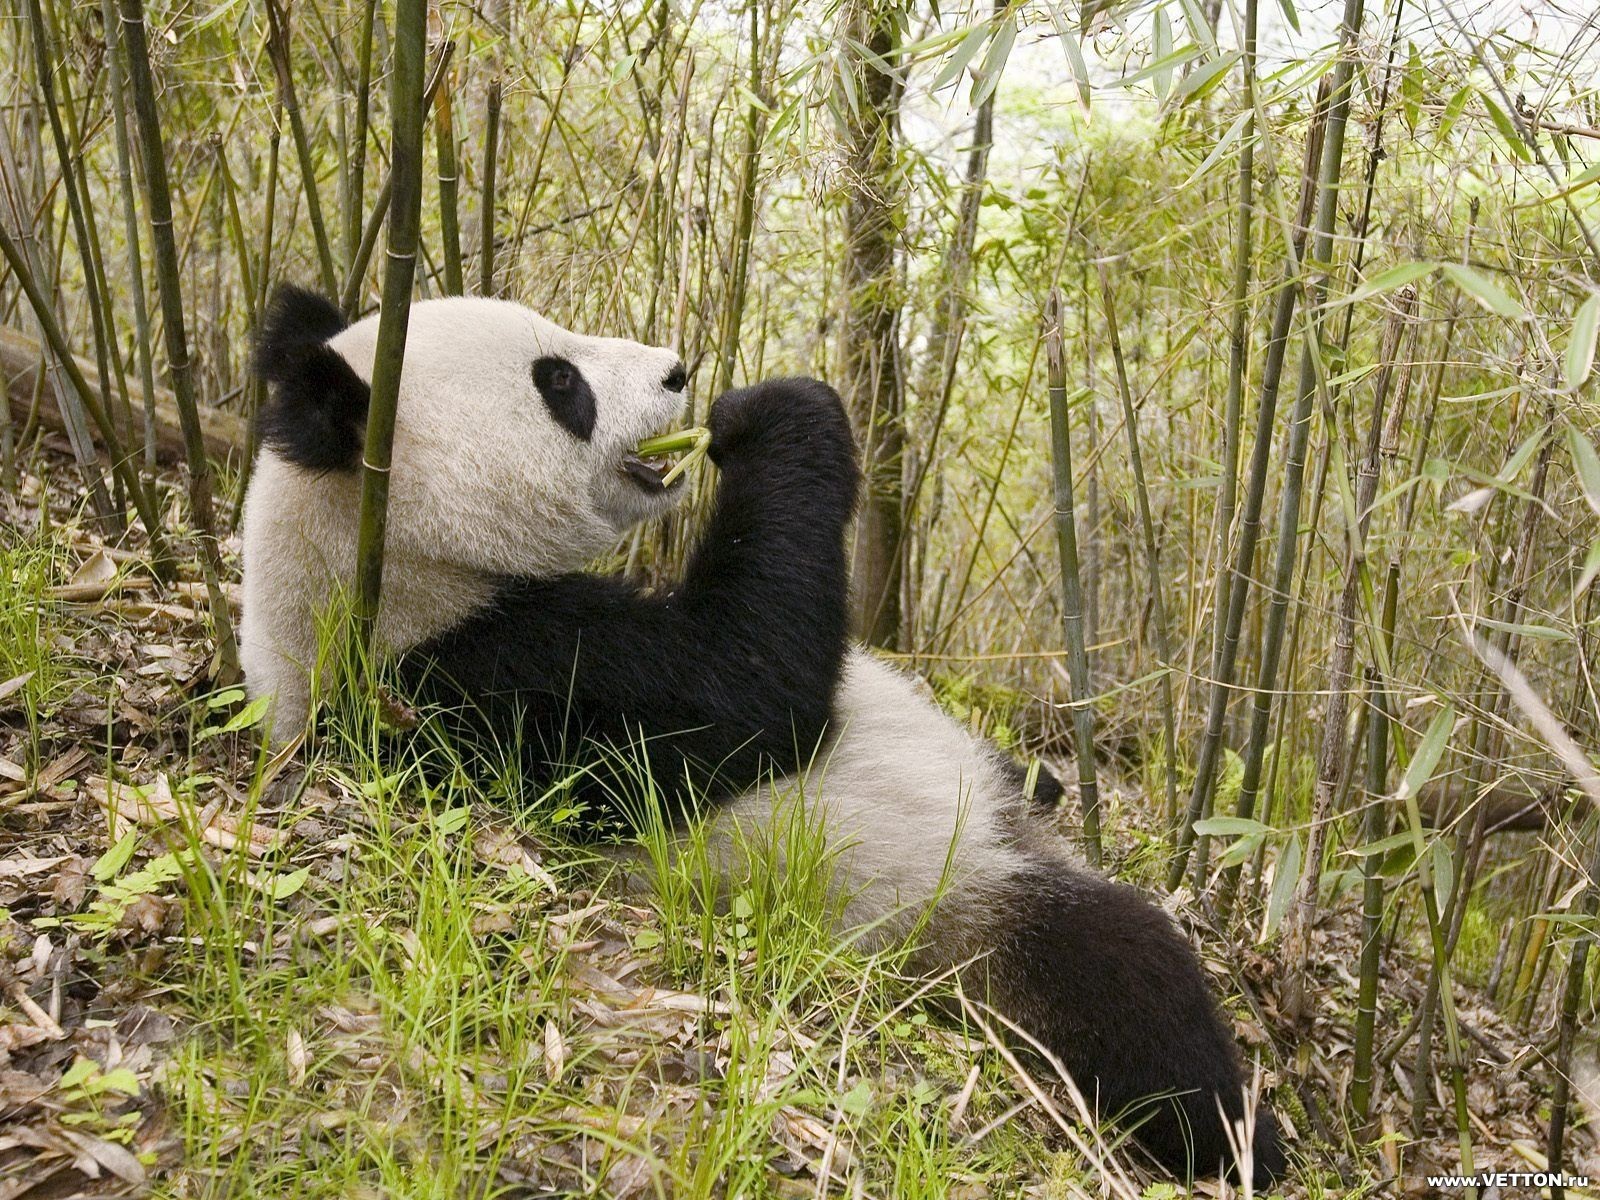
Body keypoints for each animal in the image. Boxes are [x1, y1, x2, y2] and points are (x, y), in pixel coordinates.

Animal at [241, 285, 1285, 1187]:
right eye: (559, 382)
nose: (678, 370)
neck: (381, 567)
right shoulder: (489, 682)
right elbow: (749, 689)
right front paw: (774, 414)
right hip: (952, 908)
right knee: (1123, 978)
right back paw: (1242, 1138)